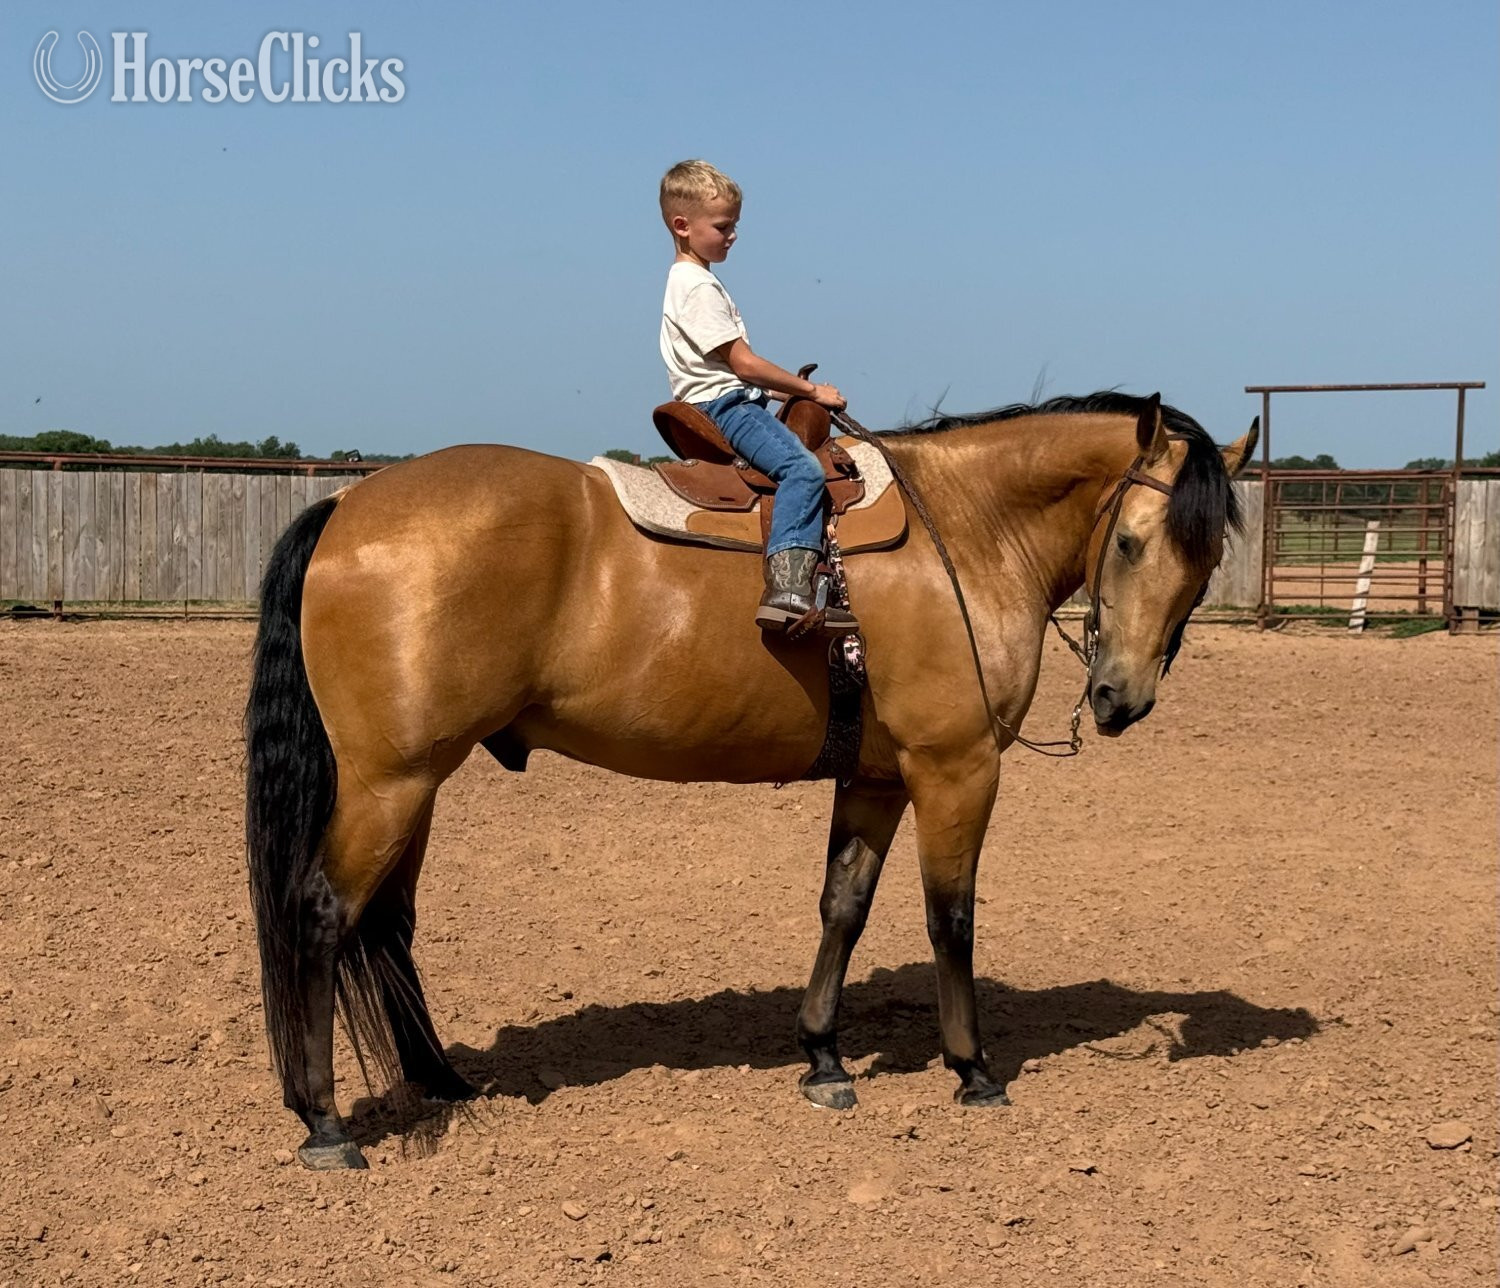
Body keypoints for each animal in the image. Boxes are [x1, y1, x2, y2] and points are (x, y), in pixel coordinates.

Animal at [245, 390, 1257, 1169]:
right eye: (1130, 543)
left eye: (1206, 558)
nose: (1121, 696)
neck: (965, 532)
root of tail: (349, 507)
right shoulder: (955, 769)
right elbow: (952, 918)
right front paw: (973, 1070)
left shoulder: (878, 780)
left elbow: (843, 906)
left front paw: (824, 1059)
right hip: (390, 783)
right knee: (323, 915)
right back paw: (325, 1121)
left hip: (416, 785)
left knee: (389, 924)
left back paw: (441, 1078)